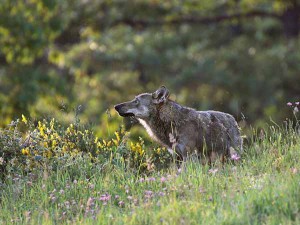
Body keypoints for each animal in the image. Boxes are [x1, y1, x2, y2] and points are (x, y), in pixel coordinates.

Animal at [113, 85, 243, 162]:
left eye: (136, 101)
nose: (116, 106)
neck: (171, 122)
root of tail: (232, 118)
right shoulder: (177, 157)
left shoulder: (188, 156)